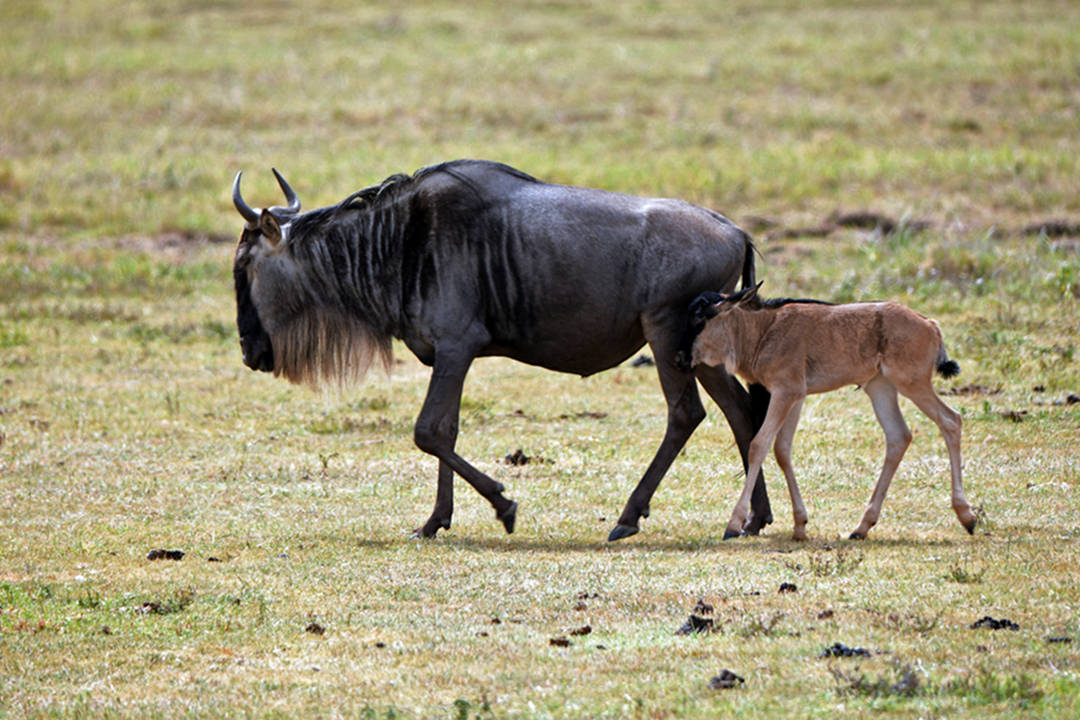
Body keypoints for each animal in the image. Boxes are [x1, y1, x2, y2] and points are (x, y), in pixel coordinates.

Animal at [686, 282, 976, 539]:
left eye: (700, 319)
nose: (680, 358)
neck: (763, 330)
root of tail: (930, 324)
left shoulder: (784, 392)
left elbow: (759, 445)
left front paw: (734, 524)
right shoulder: (795, 397)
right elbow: (782, 450)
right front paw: (800, 525)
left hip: (912, 383)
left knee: (951, 420)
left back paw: (967, 516)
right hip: (880, 387)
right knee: (898, 436)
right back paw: (862, 527)